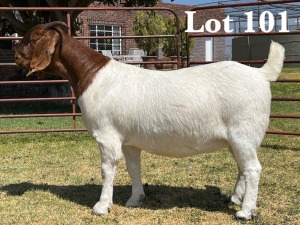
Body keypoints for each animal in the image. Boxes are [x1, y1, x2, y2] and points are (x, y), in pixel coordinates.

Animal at [15, 21, 284, 220]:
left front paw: (101, 206)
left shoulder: (107, 135)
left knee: (253, 169)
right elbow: (134, 167)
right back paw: (236, 198)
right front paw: (135, 199)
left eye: (33, 38)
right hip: (236, 138)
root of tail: (260, 74)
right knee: (242, 168)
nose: (16, 56)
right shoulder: (129, 140)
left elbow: (107, 169)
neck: (91, 75)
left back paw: (245, 211)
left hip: (243, 132)